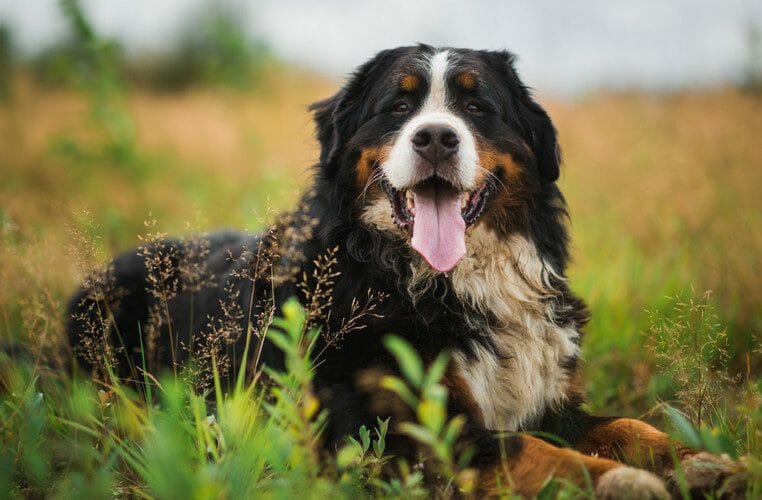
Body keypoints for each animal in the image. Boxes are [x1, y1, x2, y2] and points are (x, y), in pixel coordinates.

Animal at [68, 46, 740, 496]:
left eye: (476, 105)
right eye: (398, 105)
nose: (437, 137)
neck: (441, 282)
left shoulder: (550, 399)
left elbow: (628, 424)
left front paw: (703, 461)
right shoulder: (397, 432)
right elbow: (530, 450)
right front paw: (620, 482)